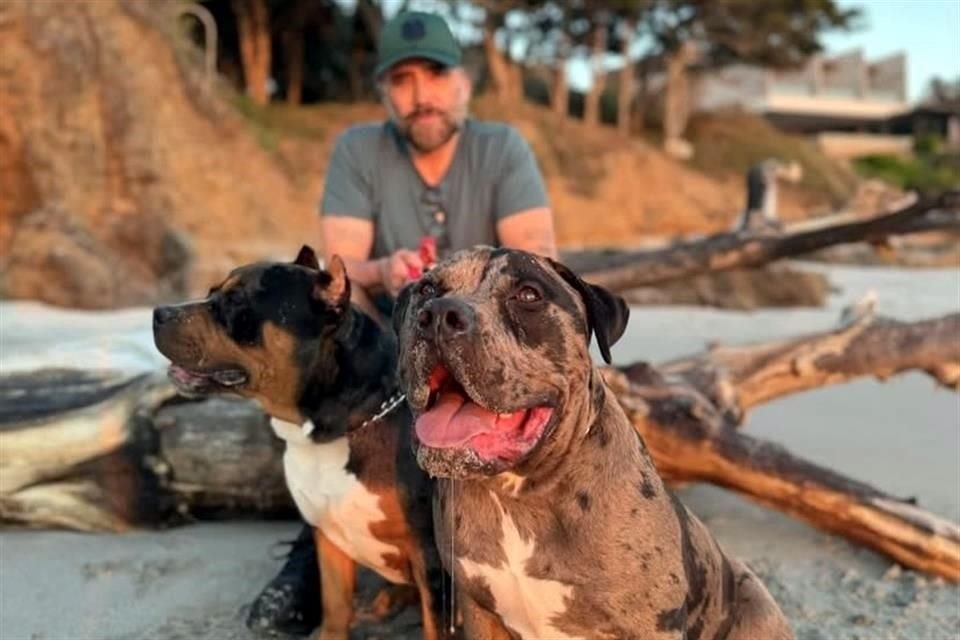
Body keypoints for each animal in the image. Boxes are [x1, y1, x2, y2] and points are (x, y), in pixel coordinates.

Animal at [152, 248, 448, 640]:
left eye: (235, 302)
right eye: (213, 292)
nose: (158, 313)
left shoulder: (430, 554)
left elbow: (436, 624)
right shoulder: (329, 540)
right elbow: (334, 607)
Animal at [392, 248, 796, 640]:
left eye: (528, 294)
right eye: (427, 289)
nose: (439, 314)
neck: (520, 494)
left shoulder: (651, 625)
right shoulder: (479, 610)